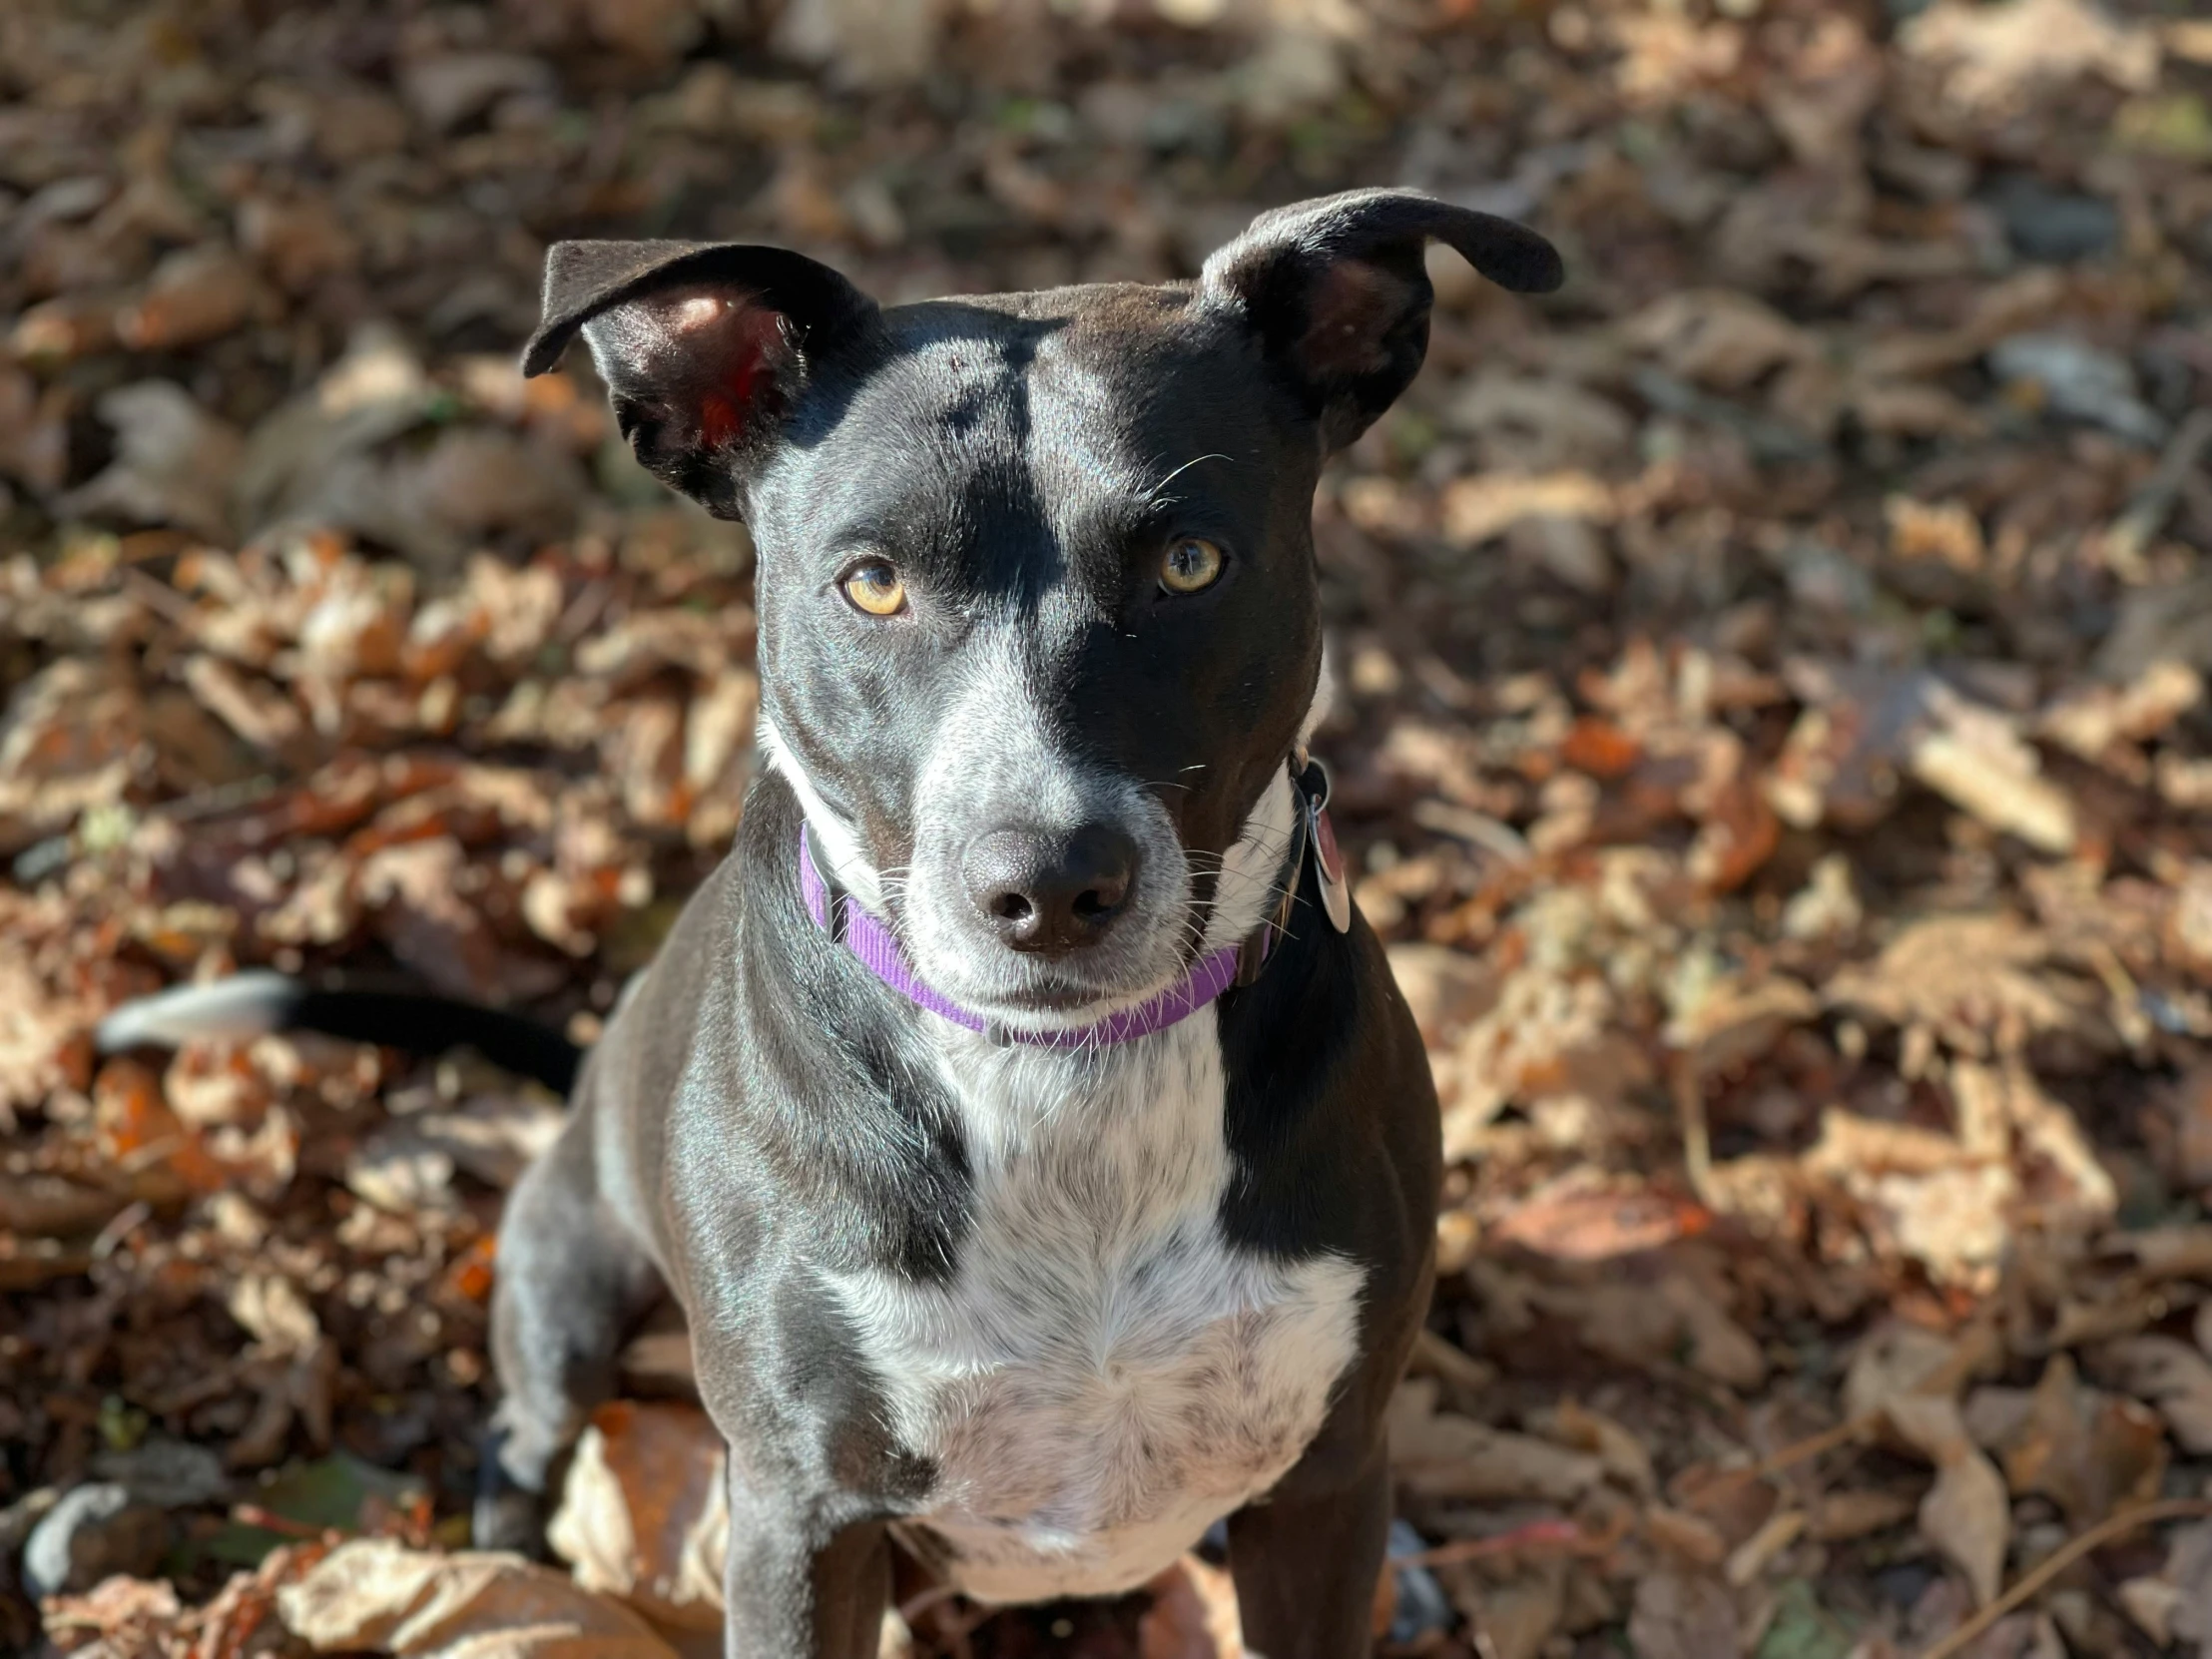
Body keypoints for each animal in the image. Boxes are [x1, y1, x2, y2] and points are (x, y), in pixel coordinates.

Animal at [99, 188, 1557, 1654]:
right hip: (566, 1277)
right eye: (871, 583)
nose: (1048, 883)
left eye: (1190, 564)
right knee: (525, 1434)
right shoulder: (804, 1514)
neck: (1064, 1085)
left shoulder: (1322, 1488)